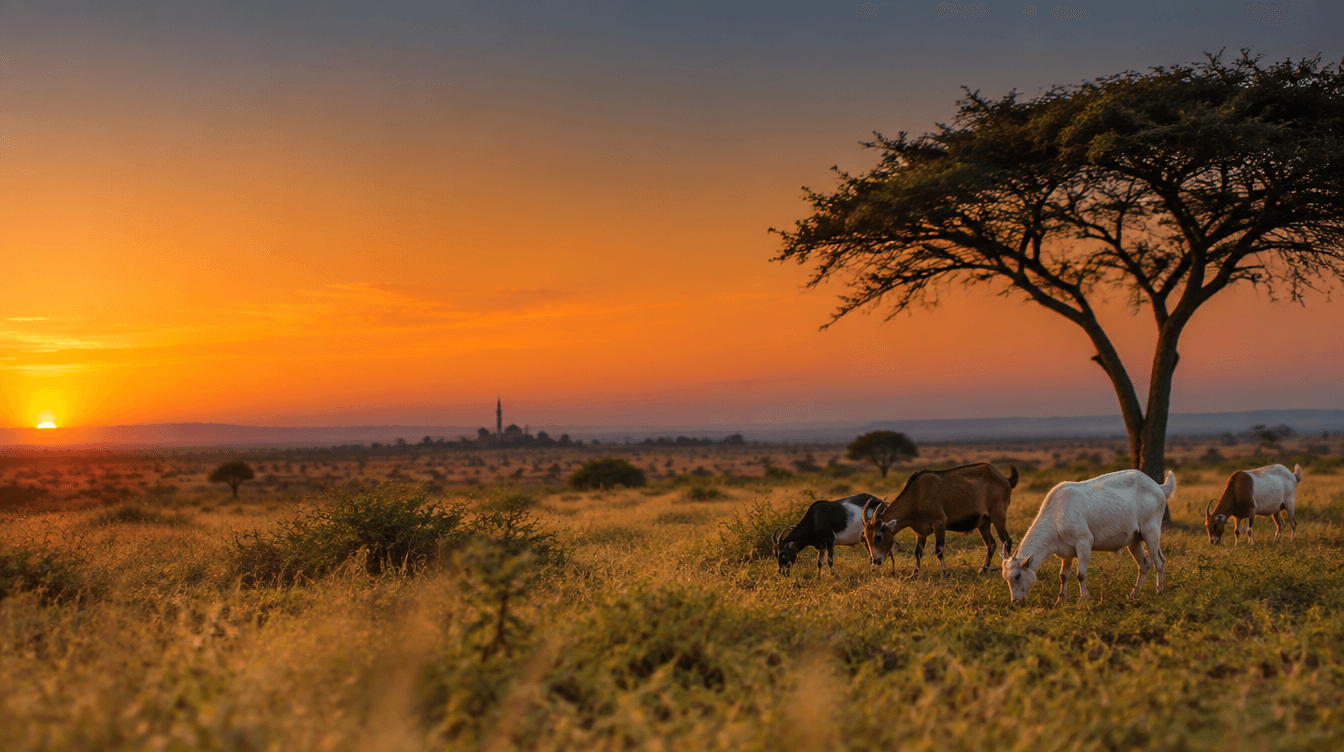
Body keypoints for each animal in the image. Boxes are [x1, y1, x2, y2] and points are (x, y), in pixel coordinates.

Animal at [861, 463, 1017, 575]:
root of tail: (1005, 479)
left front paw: (945, 573)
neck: (916, 495)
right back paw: (983, 570)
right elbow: (917, 552)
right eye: (866, 537)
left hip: (998, 516)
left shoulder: (939, 523)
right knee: (991, 544)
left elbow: (939, 550)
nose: (876, 560)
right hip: (983, 523)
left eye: (878, 537)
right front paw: (915, 574)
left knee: (1006, 541)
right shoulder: (920, 533)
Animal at [1001, 469, 1174, 604]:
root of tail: (1159, 487)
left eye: (1017, 576)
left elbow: (1081, 574)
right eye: (1006, 578)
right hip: (1134, 539)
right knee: (1144, 564)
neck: (1056, 516)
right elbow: (1063, 576)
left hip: (1150, 530)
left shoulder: (1084, 543)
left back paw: (1159, 591)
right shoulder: (1066, 552)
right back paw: (1133, 595)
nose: (1015, 602)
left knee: (1159, 561)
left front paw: (1085, 599)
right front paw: (1060, 600)